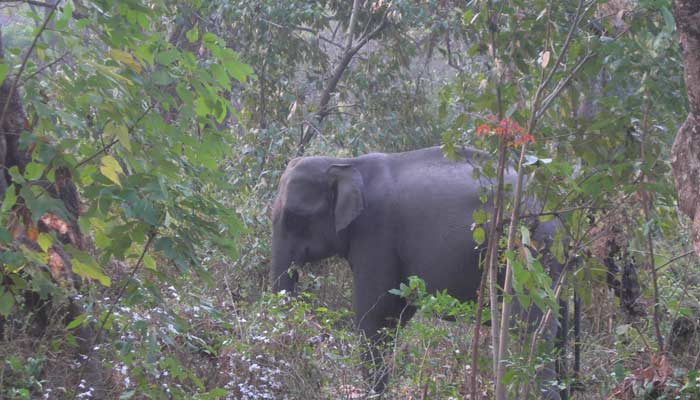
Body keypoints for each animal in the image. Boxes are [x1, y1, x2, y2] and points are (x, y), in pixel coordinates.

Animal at [270, 145, 568, 398]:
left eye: (294, 217)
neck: (346, 163)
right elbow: (395, 315)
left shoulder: (375, 232)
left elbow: (373, 313)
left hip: (530, 254)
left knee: (530, 328)